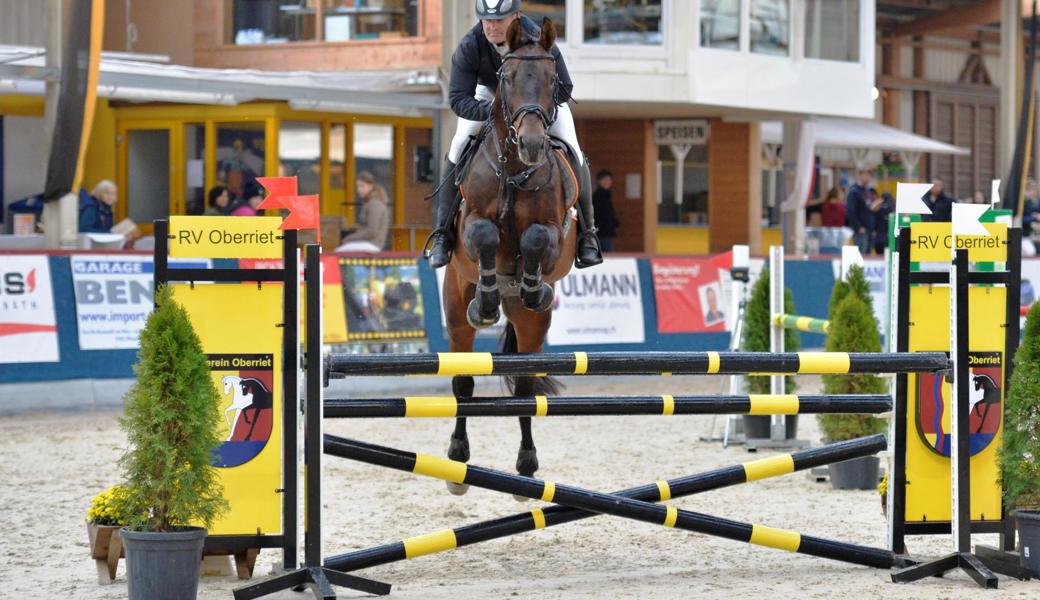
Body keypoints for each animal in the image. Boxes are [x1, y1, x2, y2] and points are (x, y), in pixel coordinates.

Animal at [440, 17, 578, 496]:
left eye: (553, 80)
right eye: (506, 78)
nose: (534, 144)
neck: (515, 171)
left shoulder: (555, 234)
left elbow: (536, 239)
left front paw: (533, 285)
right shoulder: (470, 226)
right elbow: (483, 234)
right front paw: (486, 301)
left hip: (532, 326)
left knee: (524, 386)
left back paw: (527, 464)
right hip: (454, 309)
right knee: (463, 382)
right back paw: (457, 462)